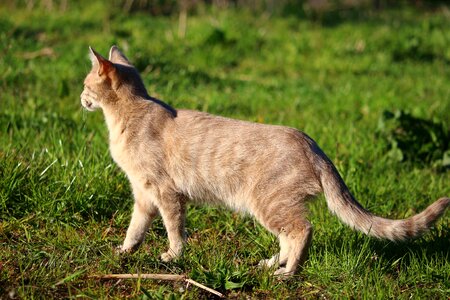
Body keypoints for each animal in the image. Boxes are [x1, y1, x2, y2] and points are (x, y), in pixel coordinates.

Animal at [81, 45, 450, 276]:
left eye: (85, 84)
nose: (80, 98)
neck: (125, 118)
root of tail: (311, 143)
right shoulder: (143, 194)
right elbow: (136, 228)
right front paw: (125, 251)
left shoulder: (165, 192)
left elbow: (174, 228)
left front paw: (173, 256)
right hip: (274, 206)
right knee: (289, 238)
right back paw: (273, 265)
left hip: (269, 202)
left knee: (302, 231)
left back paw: (287, 274)